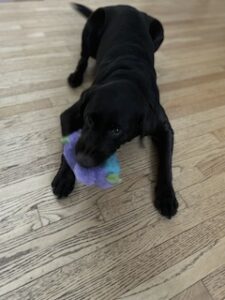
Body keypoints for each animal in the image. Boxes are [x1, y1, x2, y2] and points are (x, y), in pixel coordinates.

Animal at [51, 2, 178, 218]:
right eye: (89, 120)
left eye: (116, 130)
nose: (83, 160)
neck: (127, 75)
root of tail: (125, 6)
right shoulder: (69, 114)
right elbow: (68, 147)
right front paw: (64, 178)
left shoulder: (164, 128)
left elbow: (166, 163)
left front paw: (167, 196)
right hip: (92, 27)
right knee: (83, 57)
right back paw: (76, 77)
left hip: (159, 30)